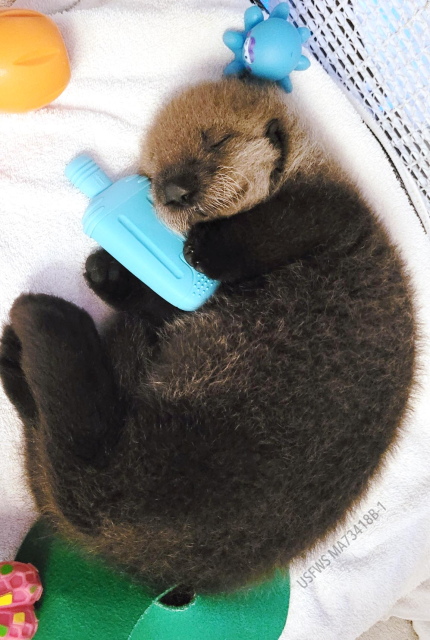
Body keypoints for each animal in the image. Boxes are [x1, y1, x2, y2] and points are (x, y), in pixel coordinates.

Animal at [0, 78, 417, 594]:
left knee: (84, 446)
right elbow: (168, 302)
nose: (174, 190)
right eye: (151, 177)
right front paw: (109, 271)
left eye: (215, 141)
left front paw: (197, 249)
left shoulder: (321, 211)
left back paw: (43, 320)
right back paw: (19, 350)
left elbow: (268, 231)